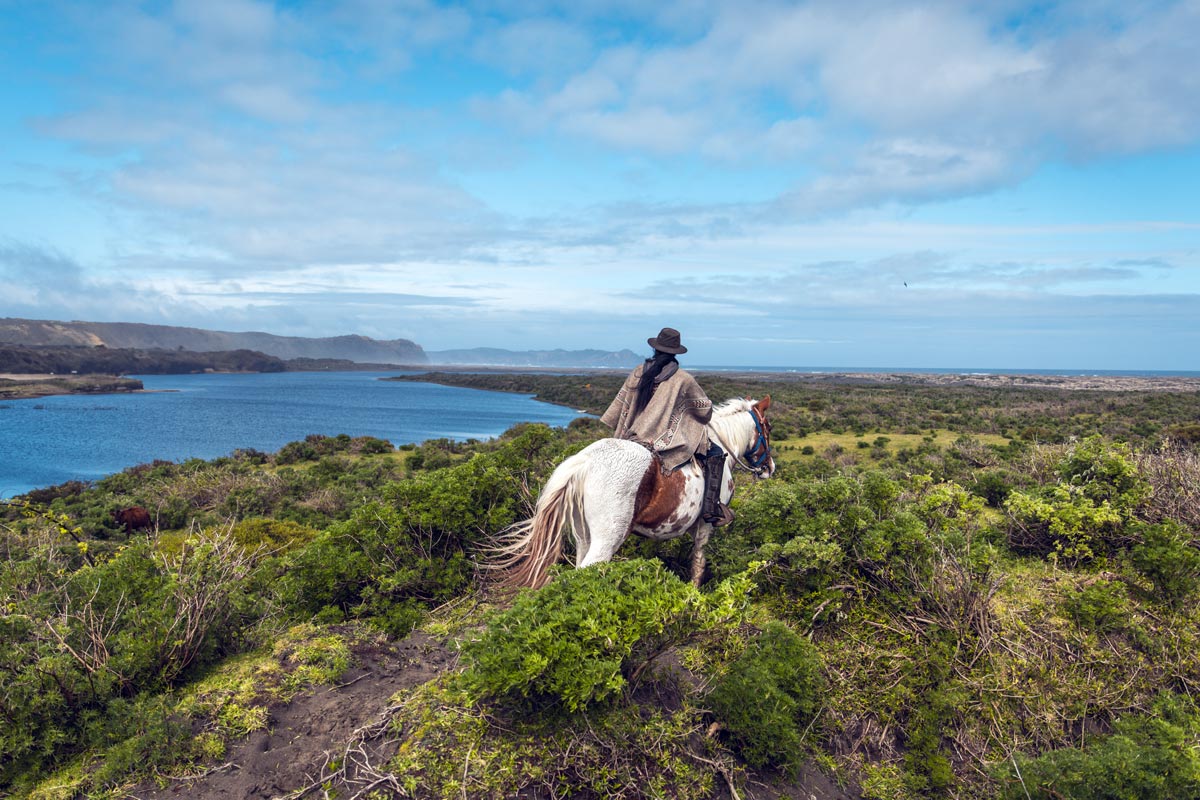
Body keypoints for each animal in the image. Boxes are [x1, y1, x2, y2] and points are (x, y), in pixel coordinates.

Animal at [492, 398, 772, 592]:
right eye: (767, 427)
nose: (769, 468)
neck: (722, 446)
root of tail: (585, 461)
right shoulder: (705, 525)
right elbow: (698, 565)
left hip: (583, 535)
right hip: (607, 538)